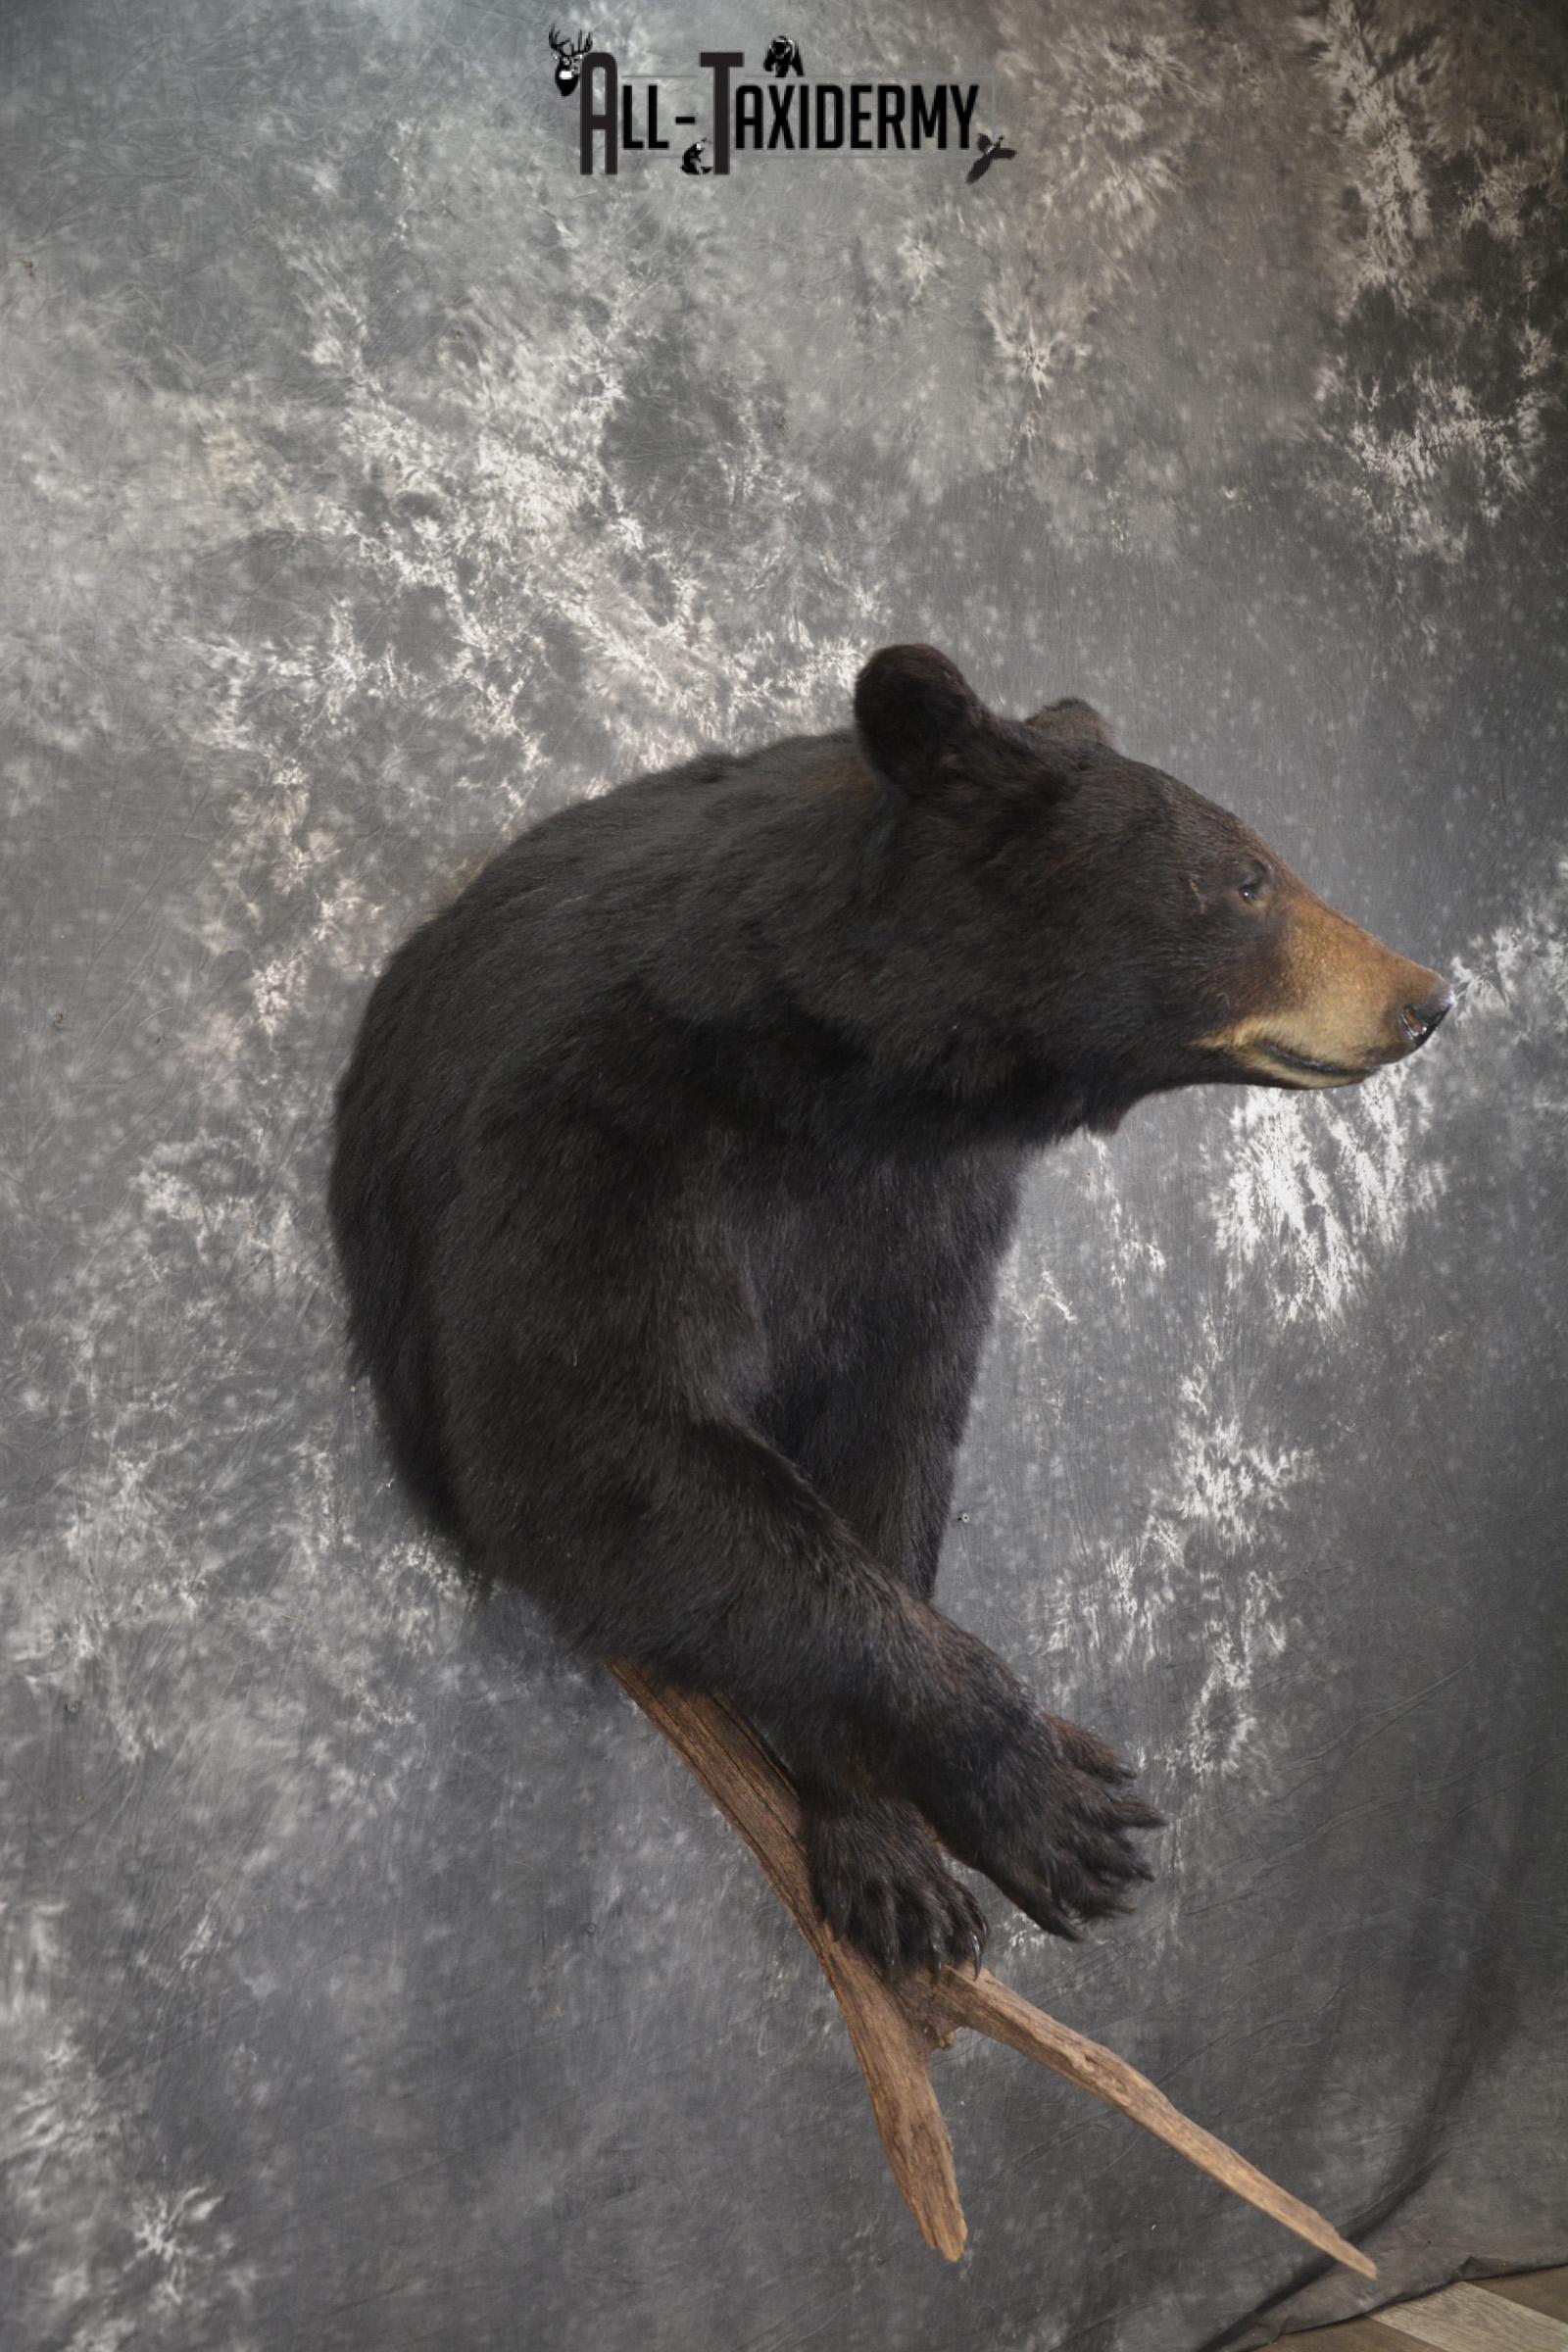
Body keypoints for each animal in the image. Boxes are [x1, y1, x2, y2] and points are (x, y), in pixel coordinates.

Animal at [328, 643, 1453, 1978]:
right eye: (1244, 879)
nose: (1424, 997)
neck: (841, 1072)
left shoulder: (924, 1214)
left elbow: (891, 1433)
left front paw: (896, 1841)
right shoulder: (594, 1130)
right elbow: (590, 1435)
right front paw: (1046, 1798)